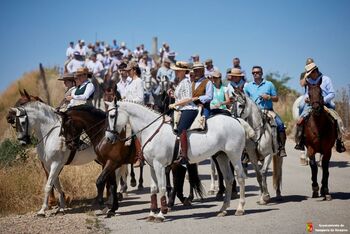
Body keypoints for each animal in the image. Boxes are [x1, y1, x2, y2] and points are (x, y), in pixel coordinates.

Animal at [105, 99, 247, 220]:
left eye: (112, 115)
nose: (108, 138)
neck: (152, 130)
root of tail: (236, 120)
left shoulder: (159, 165)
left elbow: (162, 187)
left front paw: (161, 214)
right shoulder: (152, 166)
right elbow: (153, 189)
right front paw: (151, 214)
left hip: (234, 155)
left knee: (240, 177)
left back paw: (240, 208)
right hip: (221, 156)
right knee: (229, 179)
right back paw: (223, 209)